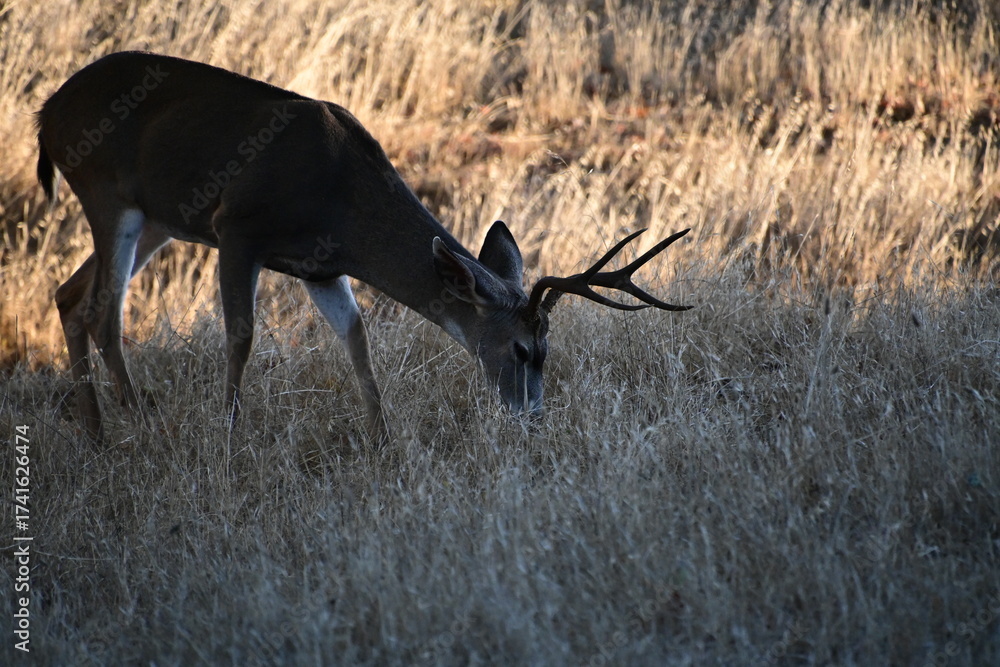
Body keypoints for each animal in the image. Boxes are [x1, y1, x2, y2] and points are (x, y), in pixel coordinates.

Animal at [36, 51, 690, 444]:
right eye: (524, 350)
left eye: (548, 351)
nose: (533, 420)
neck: (341, 196)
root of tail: (46, 113)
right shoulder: (237, 227)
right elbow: (241, 335)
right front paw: (229, 435)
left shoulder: (320, 267)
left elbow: (356, 336)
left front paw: (383, 439)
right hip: (106, 191)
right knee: (103, 309)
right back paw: (133, 420)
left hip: (156, 219)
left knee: (70, 295)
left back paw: (98, 431)